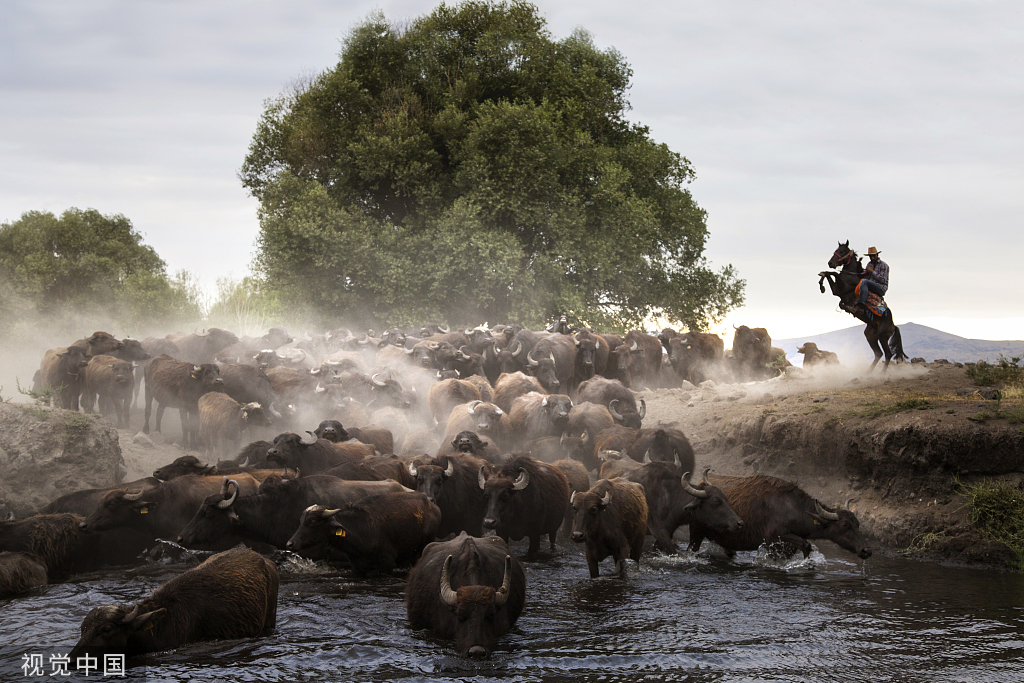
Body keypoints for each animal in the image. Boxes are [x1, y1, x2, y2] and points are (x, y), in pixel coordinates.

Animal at [819, 237, 909, 370]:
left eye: (842, 251)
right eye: (836, 249)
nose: (831, 263)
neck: (851, 275)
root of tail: (893, 325)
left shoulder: (842, 289)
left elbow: (833, 274)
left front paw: (822, 284)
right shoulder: (836, 290)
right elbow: (828, 273)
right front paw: (821, 283)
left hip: (883, 336)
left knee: (888, 354)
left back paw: (881, 373)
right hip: (870, 336)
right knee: (878, 353)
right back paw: (868, 372)